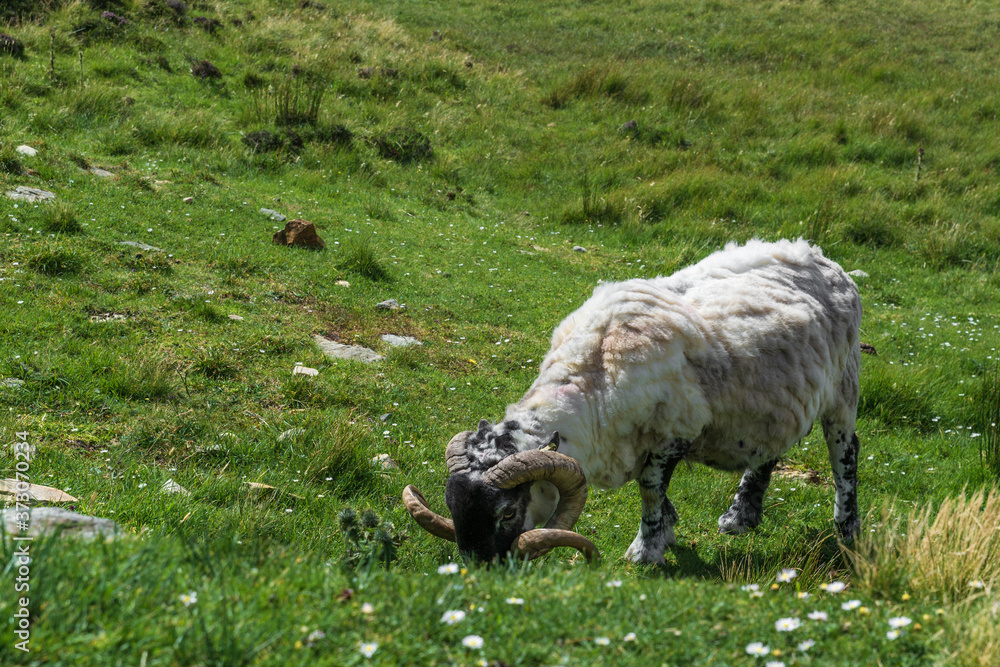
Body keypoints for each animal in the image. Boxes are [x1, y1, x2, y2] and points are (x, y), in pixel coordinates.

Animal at [403, 238, 862, 564]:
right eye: (452, 505)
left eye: (508, 514)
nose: (481, 569)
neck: (593, 373)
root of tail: (823, 258)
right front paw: (669, 530)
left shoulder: (673, 434)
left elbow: (650, 490)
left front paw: (647, 549)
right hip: (773, 404)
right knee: (769, 450)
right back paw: (739, 518)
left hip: (844, 388)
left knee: (846, 455)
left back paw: (848, 529)